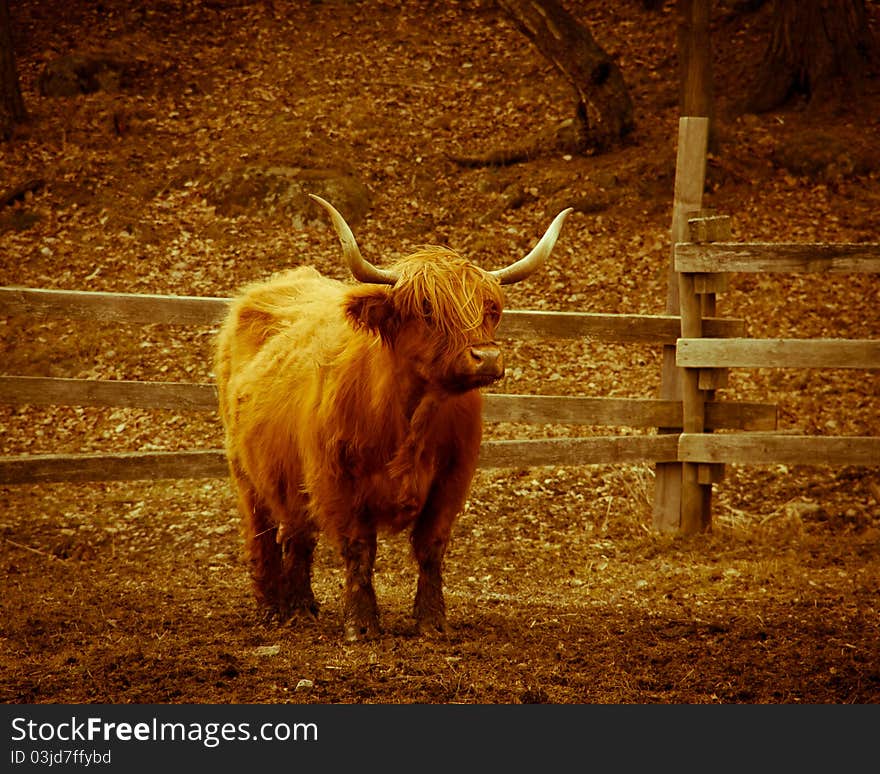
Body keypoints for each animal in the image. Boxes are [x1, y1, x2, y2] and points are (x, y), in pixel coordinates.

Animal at [213, 196, 572, 644]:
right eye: (427, 309)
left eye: (490, 309)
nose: (487, 358)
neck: (410, 419)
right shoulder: (335, 479)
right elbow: (358, 549)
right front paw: (362, 625)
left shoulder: (452, 479)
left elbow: (431, 547)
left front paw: (433, 621)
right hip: (245, 470)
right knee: (263, 532)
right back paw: (272, 609)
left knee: (296, 534)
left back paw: (302, 608)